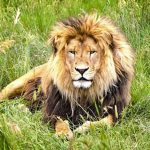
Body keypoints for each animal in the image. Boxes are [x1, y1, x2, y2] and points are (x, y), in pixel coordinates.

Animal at [0, 13, 134, 139]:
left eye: (92, 52)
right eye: (72, 52)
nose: (81, 70)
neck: (84, 93)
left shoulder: (118, 110)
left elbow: (105, 122)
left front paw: (83, 128)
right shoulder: (57, 108)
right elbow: (61, 122)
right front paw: (63, 134)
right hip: (15, 86)